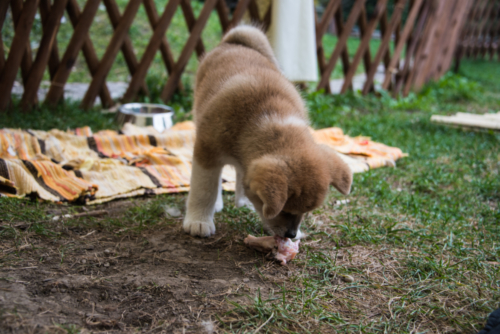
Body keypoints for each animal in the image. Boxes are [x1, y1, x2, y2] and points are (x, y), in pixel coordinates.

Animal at [183, 26, 352, 239]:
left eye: (306, 212)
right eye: (284, 211)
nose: (291, 234)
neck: (265, 116)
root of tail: (233, 42)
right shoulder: (206, 151)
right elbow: (204, 190)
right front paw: (199, 221)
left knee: (240, 174)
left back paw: (243, 201)